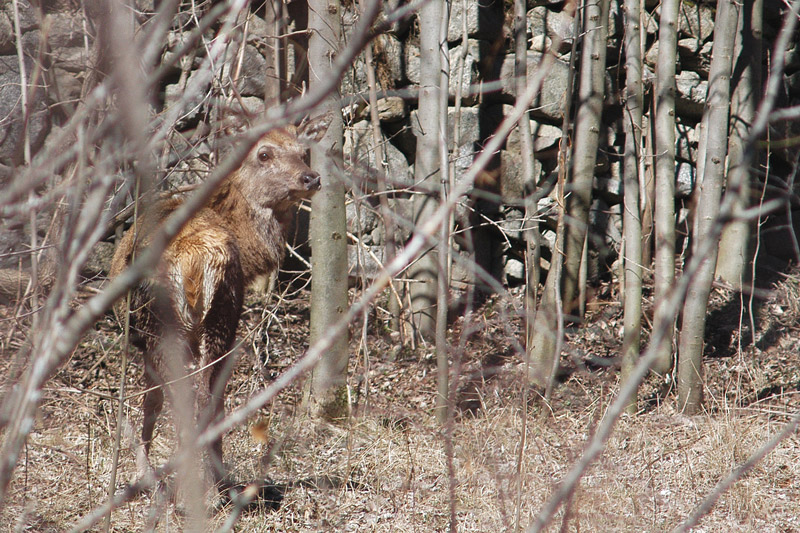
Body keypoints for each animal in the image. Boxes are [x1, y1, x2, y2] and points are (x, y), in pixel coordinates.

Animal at [108, 116, 328, 502]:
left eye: (303, 151)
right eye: (264, 154)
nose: (310, 177)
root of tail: (197, 260)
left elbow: (152, 403)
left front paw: (141, 476)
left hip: (177, 322)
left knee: (191, 399)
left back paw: (196, 488)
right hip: (216, 318)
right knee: (205, 397)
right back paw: (215, 486)